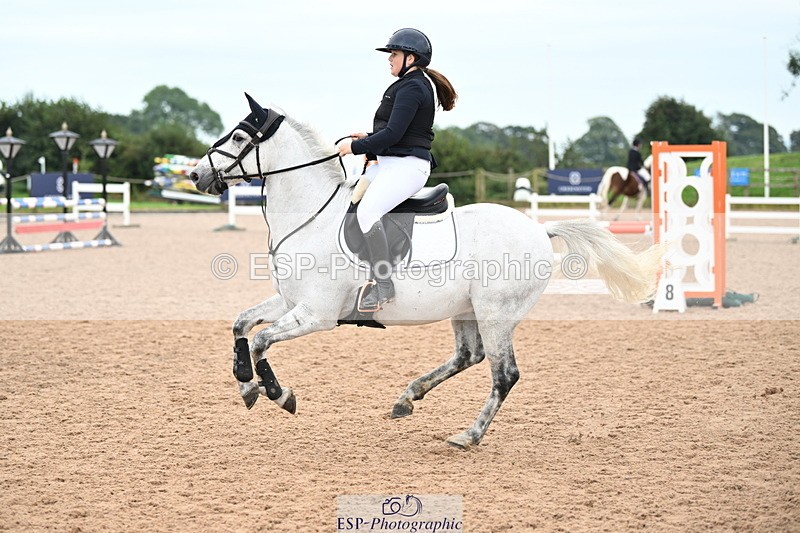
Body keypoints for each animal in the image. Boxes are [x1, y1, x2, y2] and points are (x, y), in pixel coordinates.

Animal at [190, 93, 663, 450]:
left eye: (238, 136)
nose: (195, 175)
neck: (312, 216)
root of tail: (540, 229)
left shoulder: (316, 315)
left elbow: (261, 341)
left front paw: (278, 394)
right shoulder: (290, 301)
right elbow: (241, 325)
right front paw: (246, 386)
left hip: (496, 313)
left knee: (503, 374)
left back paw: (468, 435)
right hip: (467, 310)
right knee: (468, 356)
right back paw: (407, 398)